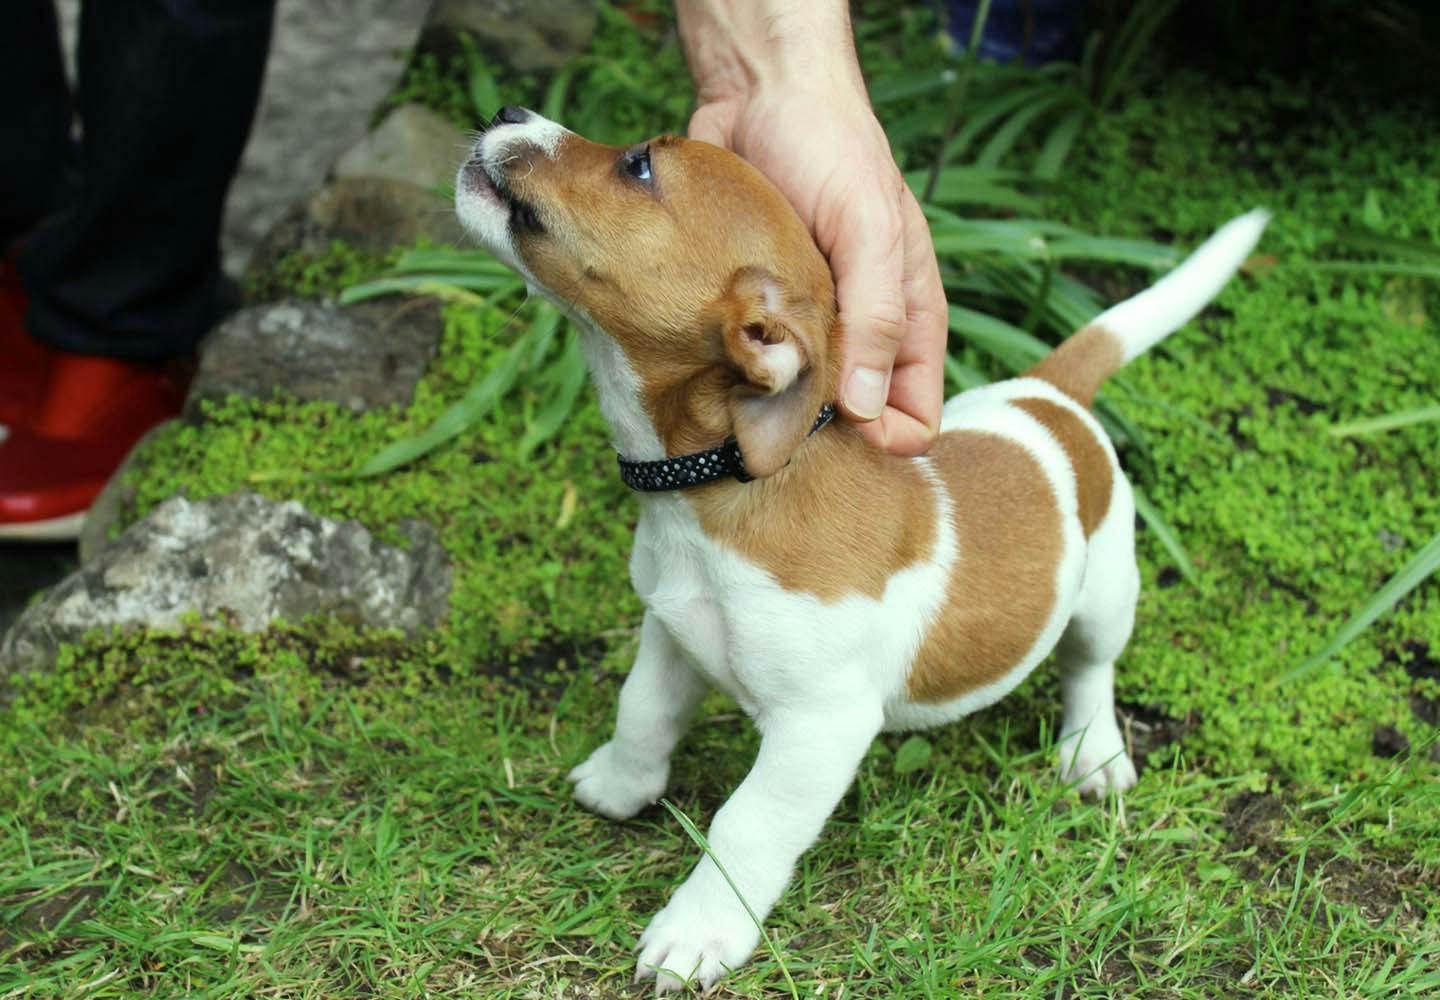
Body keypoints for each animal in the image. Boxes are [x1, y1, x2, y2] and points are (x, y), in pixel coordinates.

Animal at [455, 103, 1267, 997]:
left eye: (638, 165)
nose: (508, 112)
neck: (720, 491)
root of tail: (1050, 393)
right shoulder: (670, 634)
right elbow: (642, 713)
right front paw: (620, 784)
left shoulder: (820, 730)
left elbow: (744, 825)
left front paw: (698, 931)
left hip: (1107, 592)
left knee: (1090, 667)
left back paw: (1093, 752)